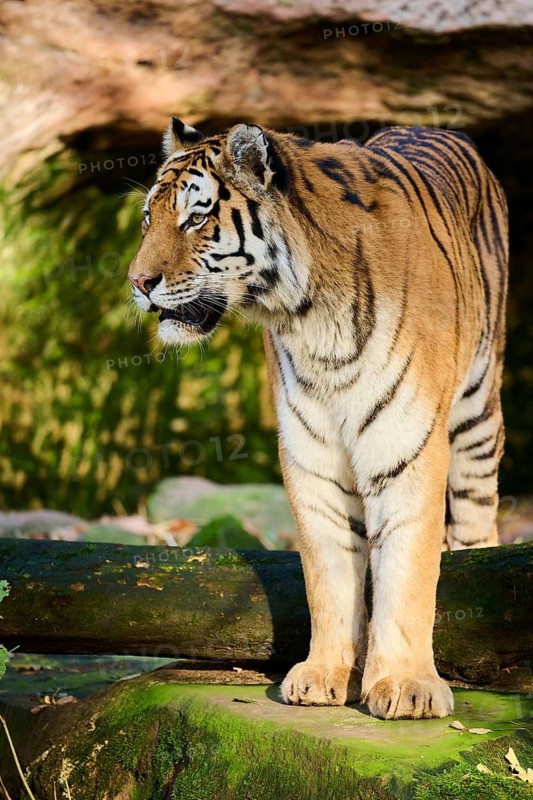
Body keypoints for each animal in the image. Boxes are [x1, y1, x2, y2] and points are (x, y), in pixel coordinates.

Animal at [128, 117, 508, 719]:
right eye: (149, 219)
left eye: (197, 218)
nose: (137, 283)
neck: (308, 316)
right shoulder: (311, 454)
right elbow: (327, 573)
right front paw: (326, 674)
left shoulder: (407, 444)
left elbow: (407, 567)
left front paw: (406, 685)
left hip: (478, 411)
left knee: (476, 518)